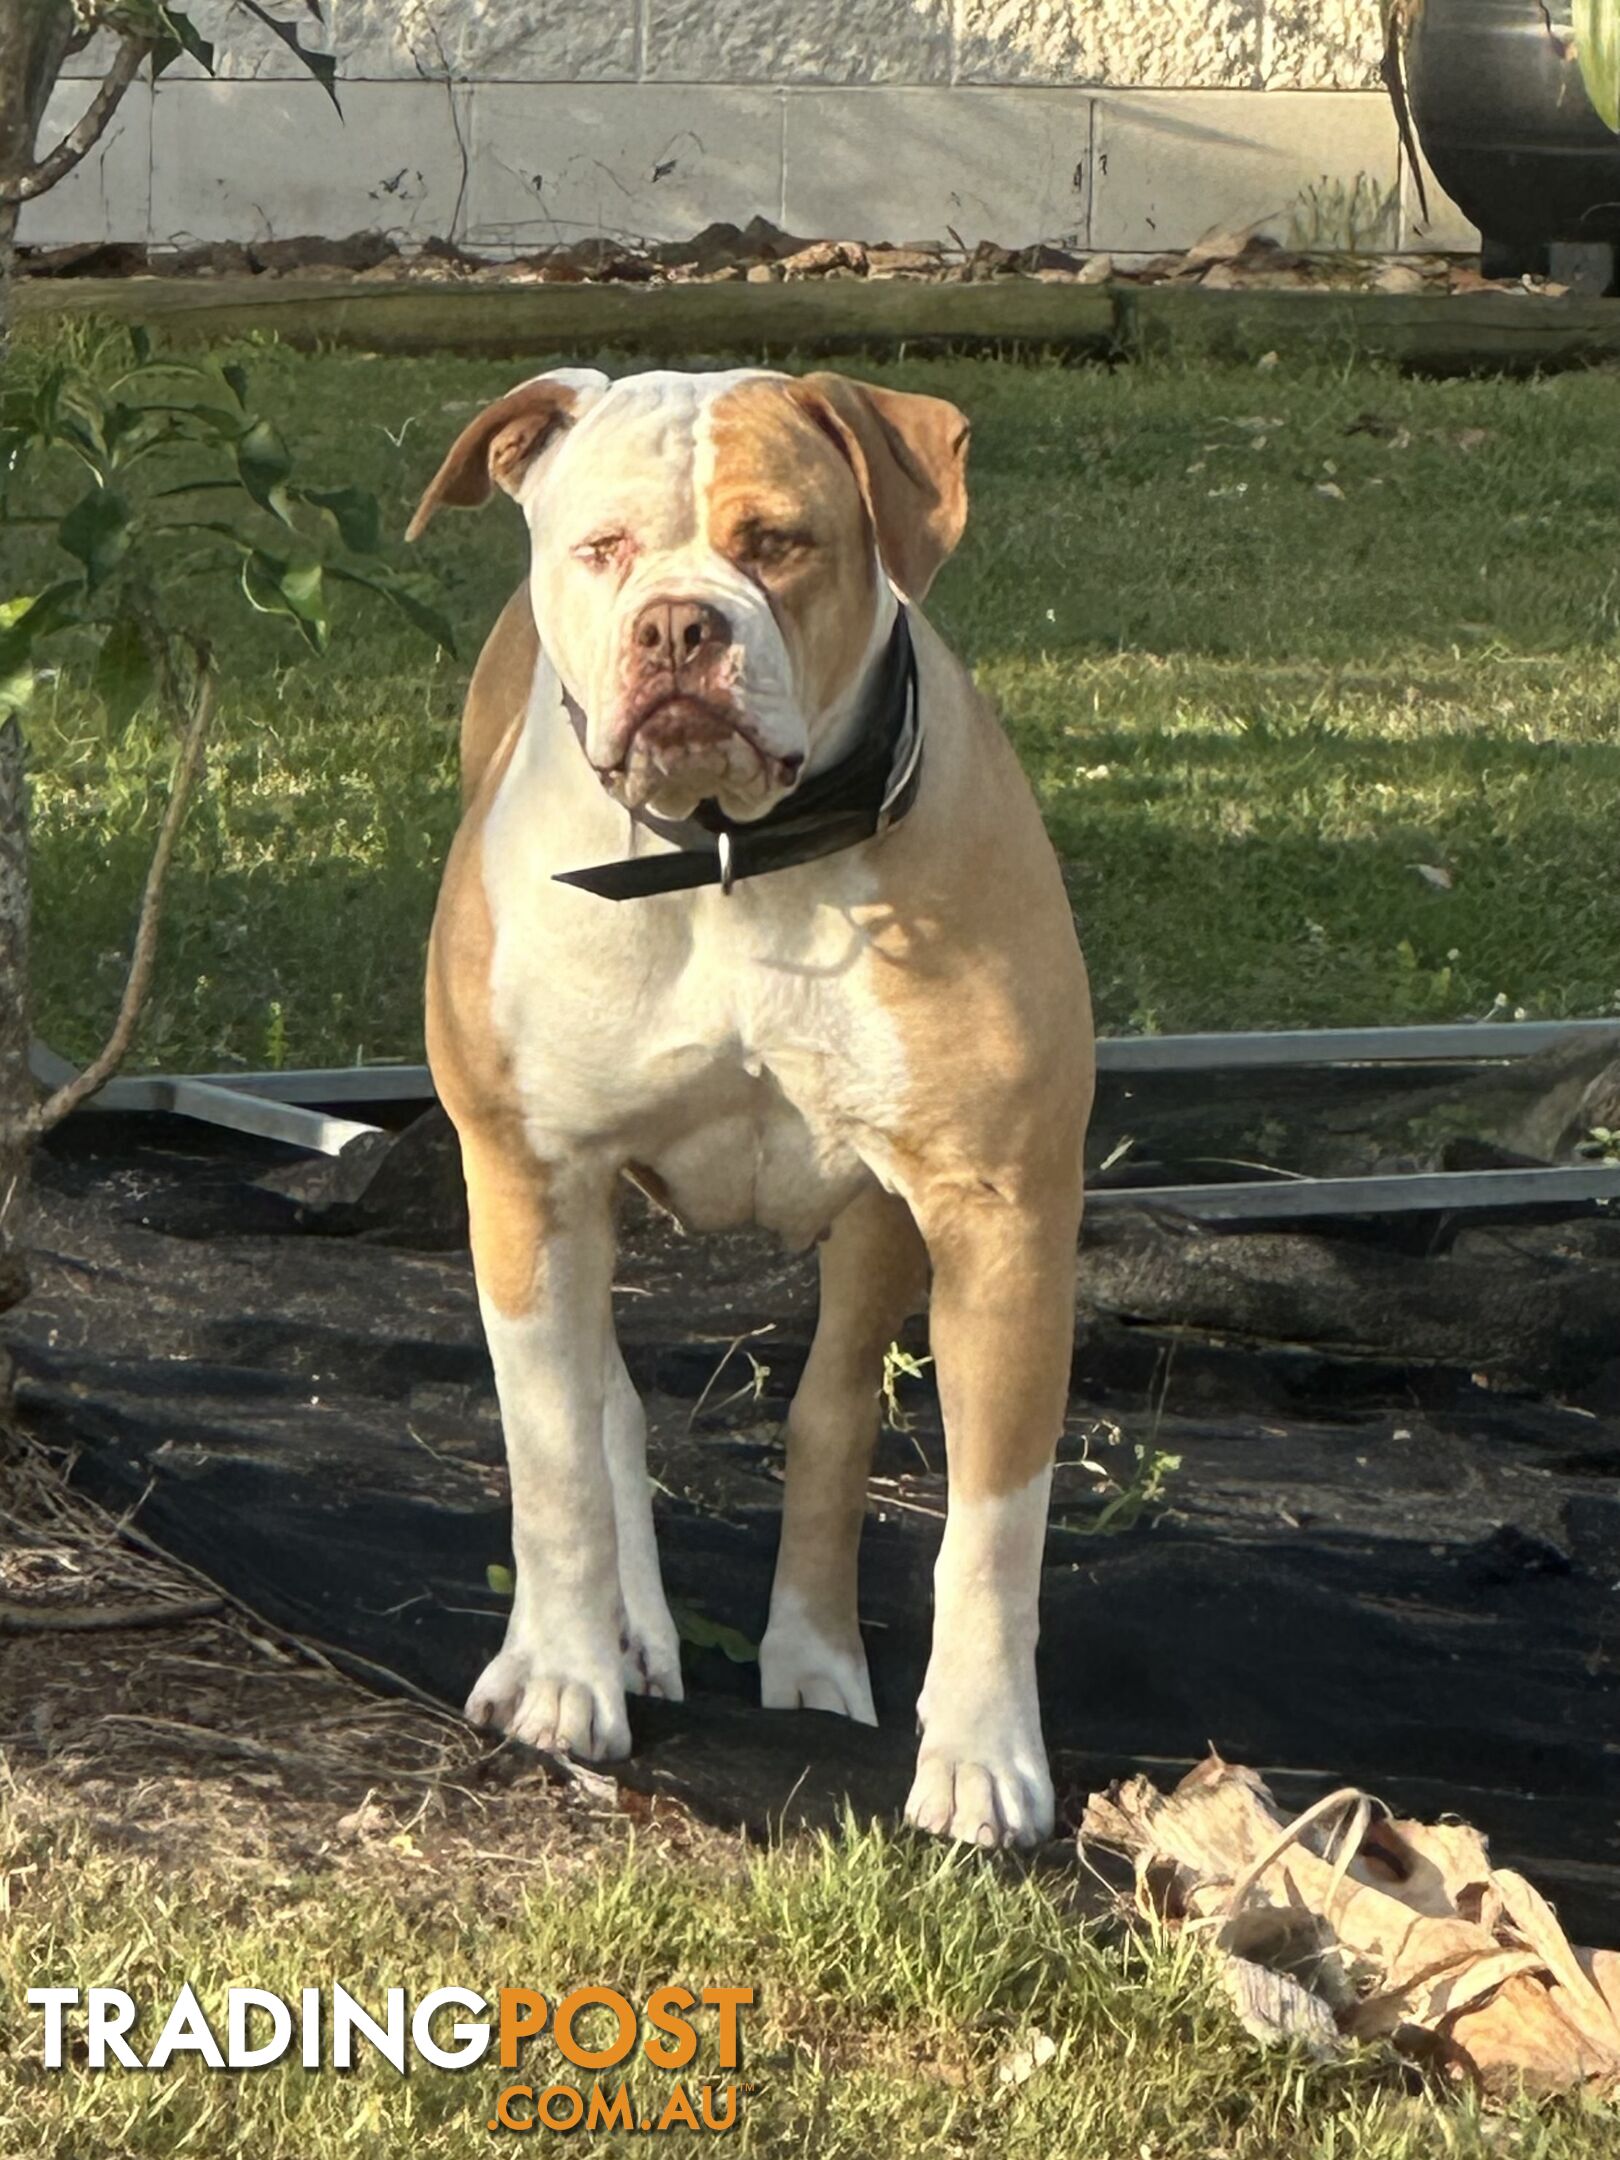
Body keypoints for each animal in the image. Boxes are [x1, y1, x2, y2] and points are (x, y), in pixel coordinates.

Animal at [406, 362, 1097, 1848]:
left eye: (779, 541)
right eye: (601, 548)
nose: (677, 624)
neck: (731, 858)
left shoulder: (998, 1215)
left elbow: (991, 1522)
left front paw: (981, 1755)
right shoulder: (530, 1175)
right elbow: (554, 1447)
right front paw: (558, 1678)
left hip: (882, 1227)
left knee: (832, 1412)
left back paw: (813, 1660)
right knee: (600, 1401)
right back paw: (617, 1634)